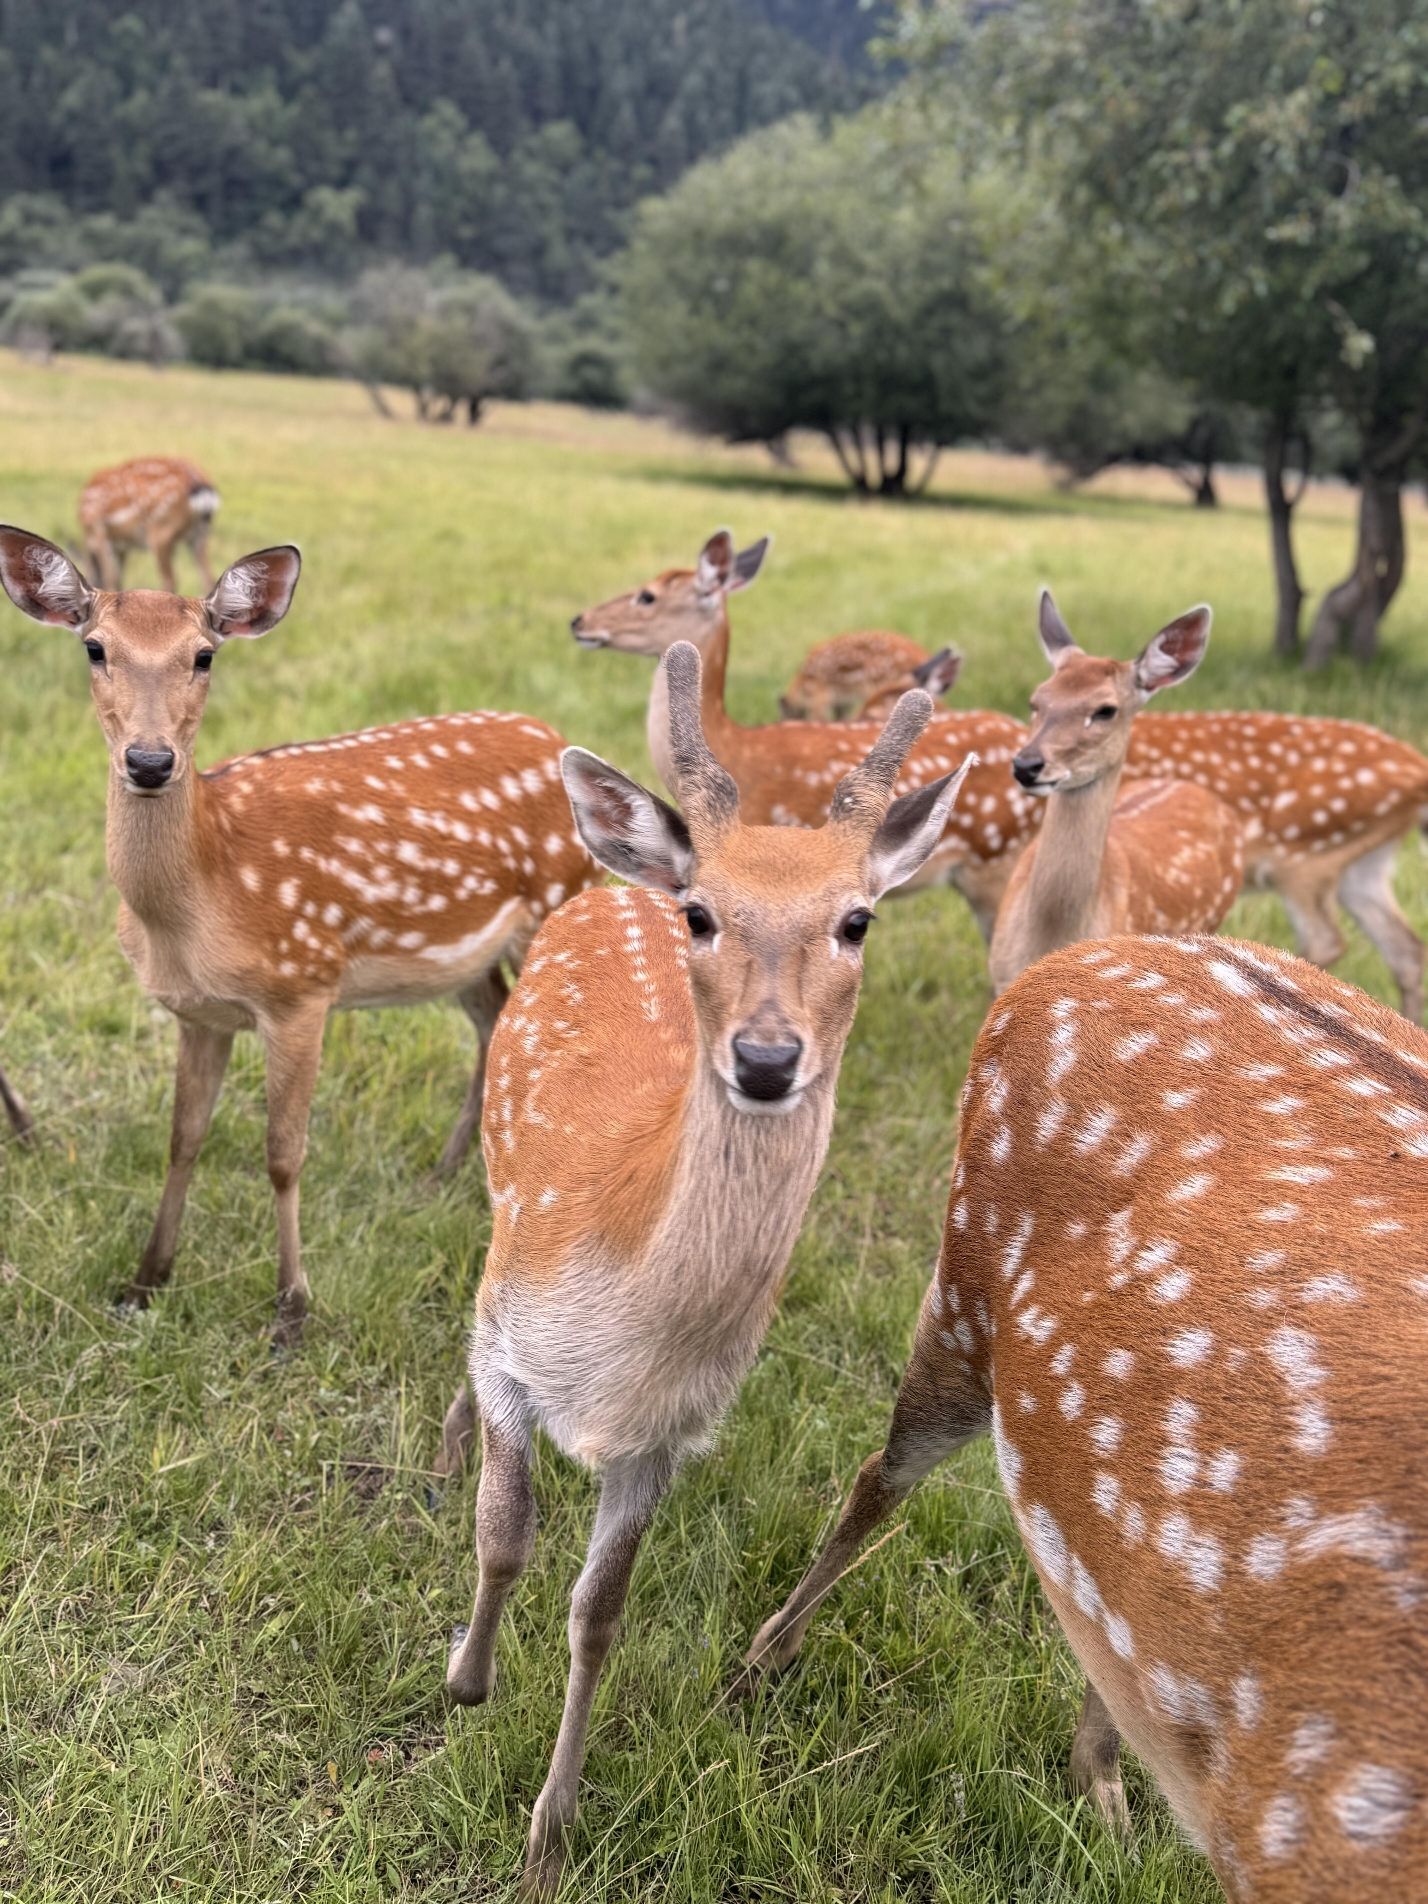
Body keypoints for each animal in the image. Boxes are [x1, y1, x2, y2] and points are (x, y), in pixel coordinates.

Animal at [0, 526, 596, 1340]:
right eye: (94, 647)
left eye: (204, 655)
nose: (150, 761)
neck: (202, 897)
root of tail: (559, 736)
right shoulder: (198, 1013)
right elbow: (182, 1140)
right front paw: (145, 1283)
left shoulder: (302, 987)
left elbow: (284, 1154)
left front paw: (292, 1311)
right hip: (465, 954)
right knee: (494, 1020)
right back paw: (440, 1176)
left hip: (565, 895)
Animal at [79, 457, 221, 593]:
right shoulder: (121, 546)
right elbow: (118, 581)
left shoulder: (99, 532)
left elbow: (110, 581)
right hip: (200, 533)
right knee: (207, 578)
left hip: (161, 530)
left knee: (170, 579)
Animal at [438, 641, 974, 1897]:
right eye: (704, 912)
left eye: (858, 918)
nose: (768, 1056)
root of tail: (614, 875)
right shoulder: (510, 1338)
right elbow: (502, 1531)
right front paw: (465, 1675)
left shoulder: (667, 1439)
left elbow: (598, 1613)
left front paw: (550, 1832)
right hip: (495, 1207)